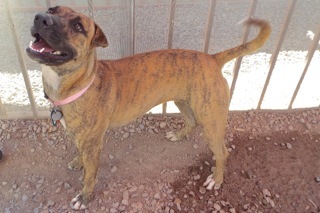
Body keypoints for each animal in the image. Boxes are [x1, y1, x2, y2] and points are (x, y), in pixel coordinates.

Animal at [26, 6, 270, 210]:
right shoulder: (79, 135)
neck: (78, 83)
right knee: (191, 121)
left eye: (78, 26)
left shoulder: (93, 144)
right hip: (183, 101)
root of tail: (212, 58)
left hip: (212, 122)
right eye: (52, 9)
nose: (40, 17)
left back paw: (216, 179)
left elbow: (90, 176)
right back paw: (179, 135)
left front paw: (85, 197)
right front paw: (78, 162)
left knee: (222, 152)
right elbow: (78, 151)